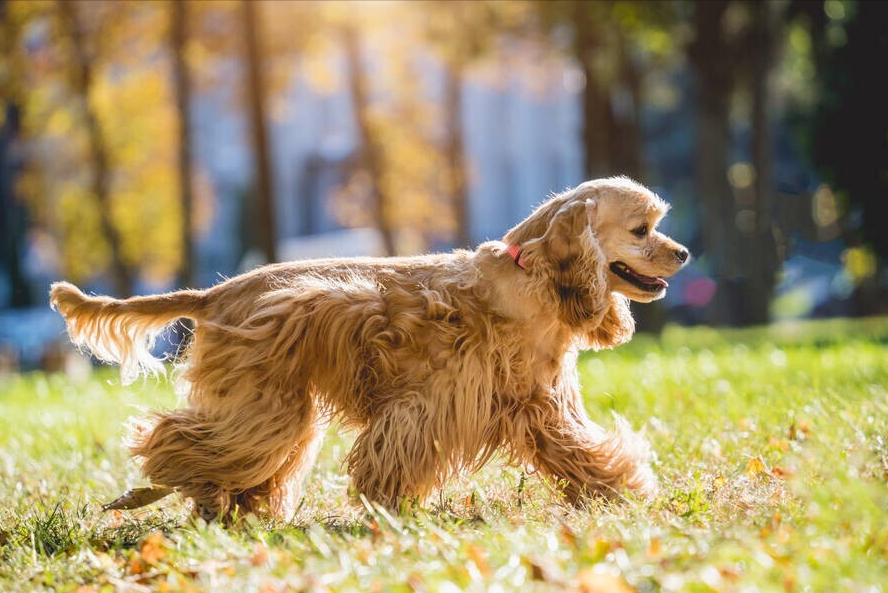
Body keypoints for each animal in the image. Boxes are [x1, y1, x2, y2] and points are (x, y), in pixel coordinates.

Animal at [48, 177, 692, 520]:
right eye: (641, 230)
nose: (684, 252)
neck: (532, 279)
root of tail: (215, 293)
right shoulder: (430, 401)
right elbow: (396, 453)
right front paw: (389, 503)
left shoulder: (537, 404)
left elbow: (580, 451)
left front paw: (617, 490)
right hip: (264, 403)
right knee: (180, 441)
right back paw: (172, 491)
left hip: (277, 407)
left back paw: (224, 502)